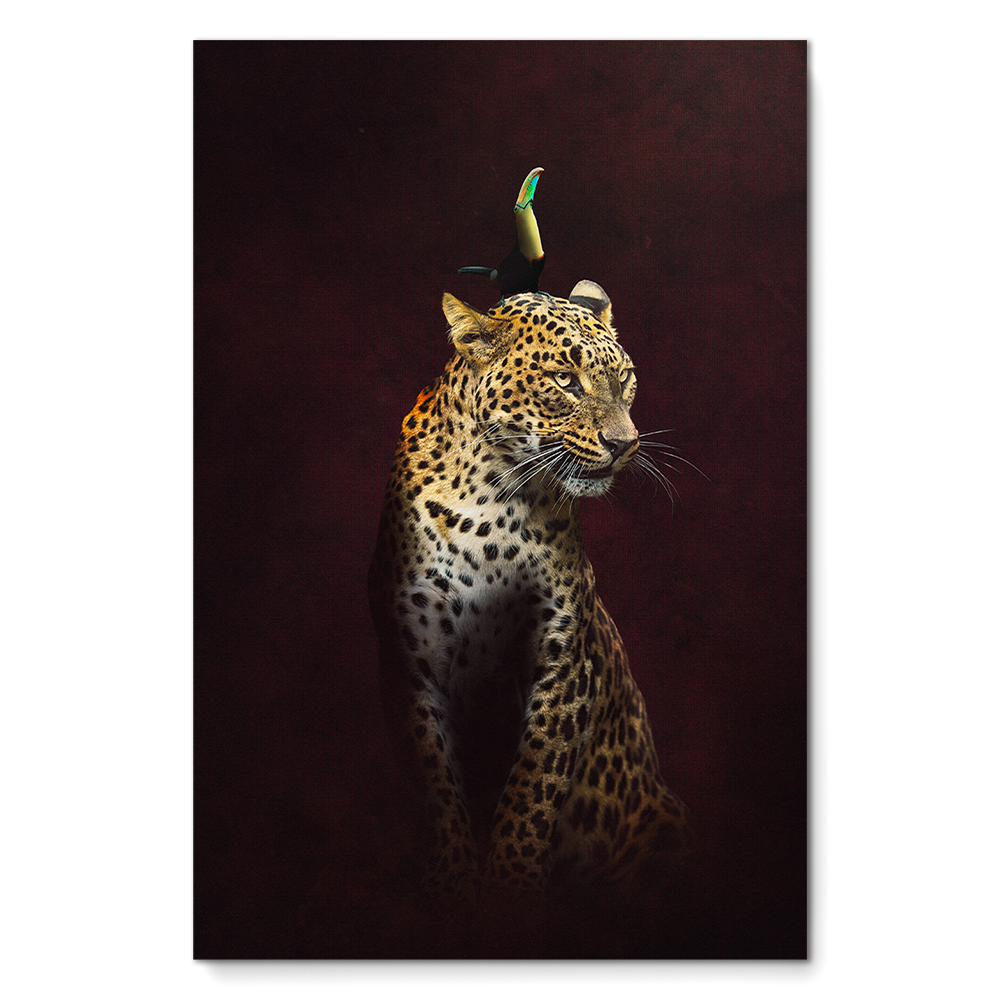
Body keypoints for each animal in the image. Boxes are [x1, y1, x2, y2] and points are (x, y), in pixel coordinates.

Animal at [368, 280, 689, 901]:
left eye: (626, 379)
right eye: (565, 380)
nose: (626, 443)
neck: (489, 501)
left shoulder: (563, 658)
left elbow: (533, 783)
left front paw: (511, 884)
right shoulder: (413, 661)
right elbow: (438, 779)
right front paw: (454, 880)